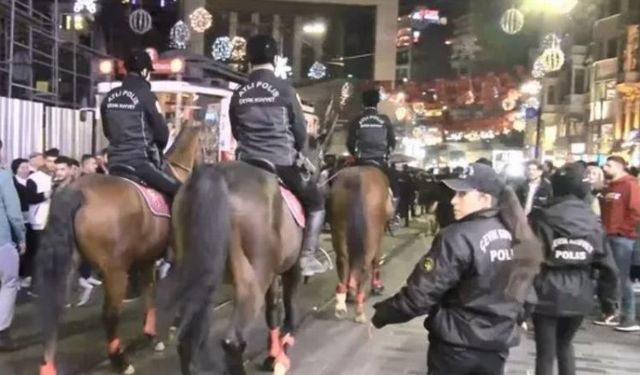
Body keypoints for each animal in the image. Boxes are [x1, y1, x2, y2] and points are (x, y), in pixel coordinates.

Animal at [35, 124, 208, 375]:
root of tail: (78, 192)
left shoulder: (147, 259)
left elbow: (149, 291)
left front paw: (152, 334)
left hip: (68, 265)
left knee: (54, 310)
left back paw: (48, 365)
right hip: (115, 270)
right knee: (110, 314)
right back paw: (120, 360)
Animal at [174, 162, 306, 375]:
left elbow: (272, 311)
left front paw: (272, 356)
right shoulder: (291, 267)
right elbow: (288, 307)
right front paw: (280, 355)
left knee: (185, 341)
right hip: (253, 278)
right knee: (233, 341)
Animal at [330, 167, 396, 324]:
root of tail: (357, 180)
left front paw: (350, 292)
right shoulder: (378, 236)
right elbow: (376, 261)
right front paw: (376, 286)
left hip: (339, 230)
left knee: (343, 261)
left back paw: (342, 301)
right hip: (370, 238)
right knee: (365, 265)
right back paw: (359, 310)